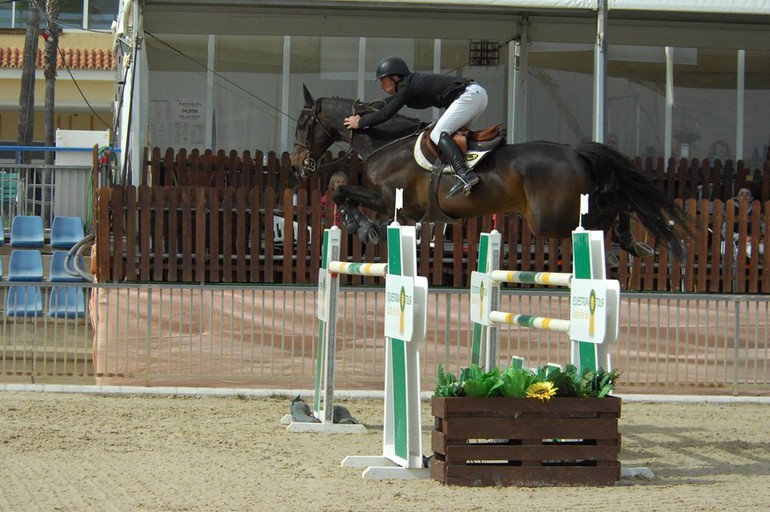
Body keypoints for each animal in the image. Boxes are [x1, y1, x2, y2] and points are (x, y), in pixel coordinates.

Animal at [290, 86, 688, 260]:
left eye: (301, 124)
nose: (296, 165)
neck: (386, 142)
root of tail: (574, 150)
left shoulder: (393, 203)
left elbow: (340, 186)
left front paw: (363, 227)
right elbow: (338, 184)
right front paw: (360, 225)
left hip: (553, 219)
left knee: (607, 211)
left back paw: (629, 240)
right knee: (614, 205)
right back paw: (631, 240)